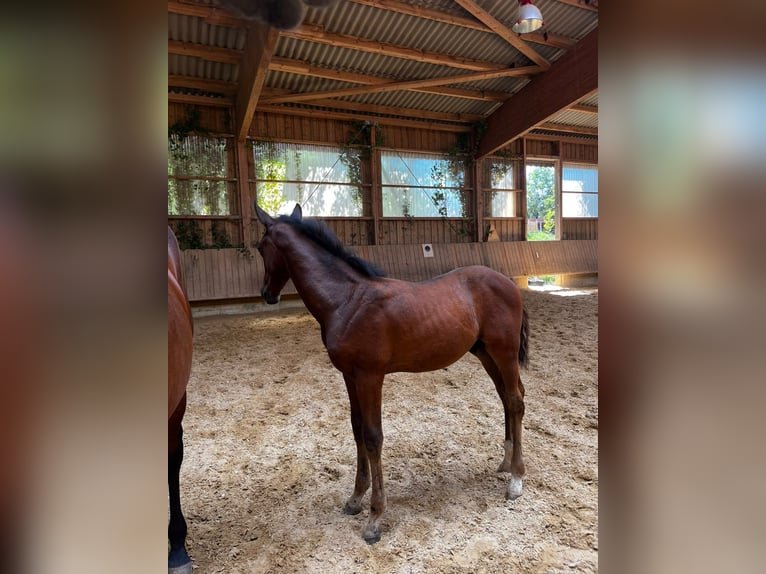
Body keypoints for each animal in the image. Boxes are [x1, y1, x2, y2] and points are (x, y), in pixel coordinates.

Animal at [254, 203, 529, 543]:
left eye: (260, 247)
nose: (266, 293)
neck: (346, 300)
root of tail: (509, 283)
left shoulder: (370, 376)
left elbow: (373, 437)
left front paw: (375, 518)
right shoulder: (350, 375)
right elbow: (357, 429)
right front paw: (355, 499)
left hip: (504, 353)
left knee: (515, 402)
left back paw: (516, 479)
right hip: (486, 354)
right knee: (506, 397)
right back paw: (505, 462)